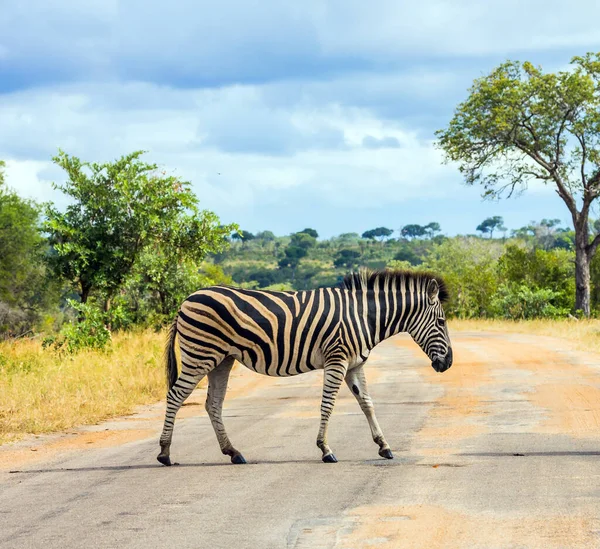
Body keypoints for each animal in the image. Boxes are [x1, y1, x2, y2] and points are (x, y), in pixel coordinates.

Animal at [157, 268, 452, 464]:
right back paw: (164, 453)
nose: (448, 364)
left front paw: (384, 445)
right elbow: (328, 405)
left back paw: (233, 452)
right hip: (200, 355)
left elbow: (367, 403)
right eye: (441, 322)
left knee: (213, 404)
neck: (363, 316)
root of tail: (186, 300)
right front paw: (325, 449)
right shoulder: (337, 359)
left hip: (221, 360)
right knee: (175, 396)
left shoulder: (355, 365)